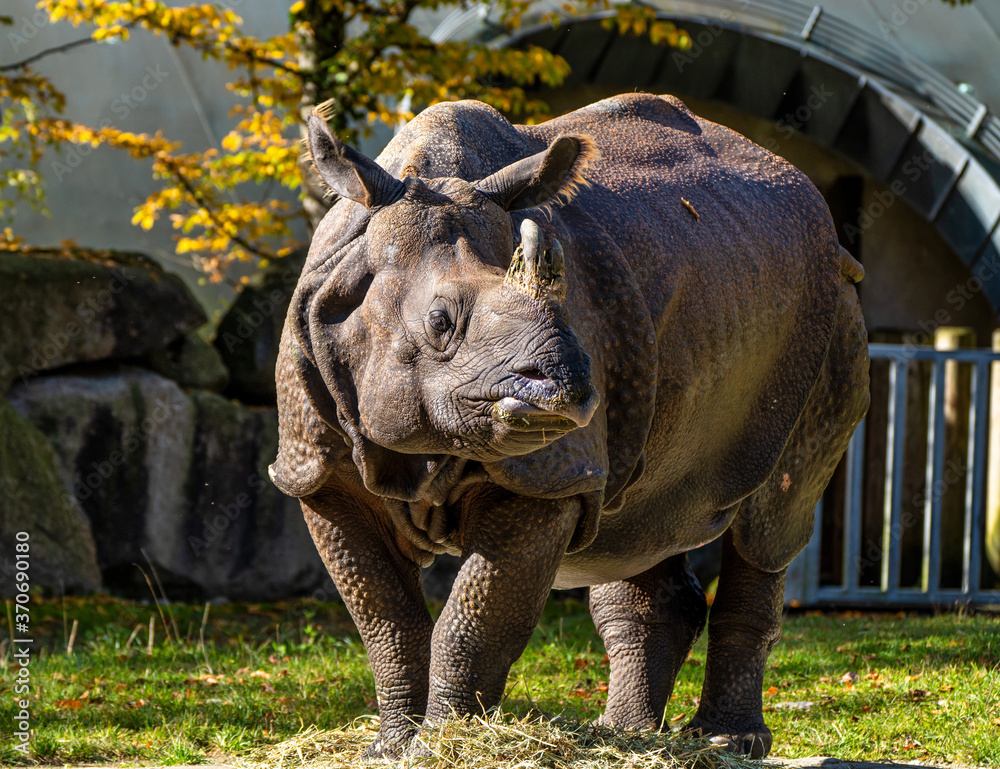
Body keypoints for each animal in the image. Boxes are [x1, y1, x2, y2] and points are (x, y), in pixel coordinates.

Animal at [271, 92, 869, 759]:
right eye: (440, 324)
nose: (570, 388)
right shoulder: (316, 470)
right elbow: (388, 622)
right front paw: (392, 749)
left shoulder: (547, 474)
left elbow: (472, 623)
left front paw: (444, 744)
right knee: (639, 522)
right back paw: (626, 737)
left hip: (831, 311)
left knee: (767, 522)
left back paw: (724, 743)